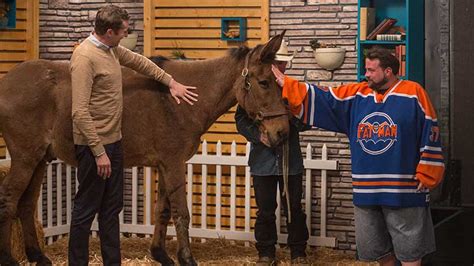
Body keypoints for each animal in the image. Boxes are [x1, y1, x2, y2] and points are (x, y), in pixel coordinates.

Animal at [0, 32, 288, 262]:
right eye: (264, 82)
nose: (282, 132)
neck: (182, 100)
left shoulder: (164, 165)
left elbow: (162, 211)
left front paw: (160, 255)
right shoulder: (173, 164)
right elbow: (181, 213)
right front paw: (186, 258)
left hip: (40, 160)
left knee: (26, 205)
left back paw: (37, 256)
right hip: (25, 158)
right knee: (9, 200)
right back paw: (9, 258)